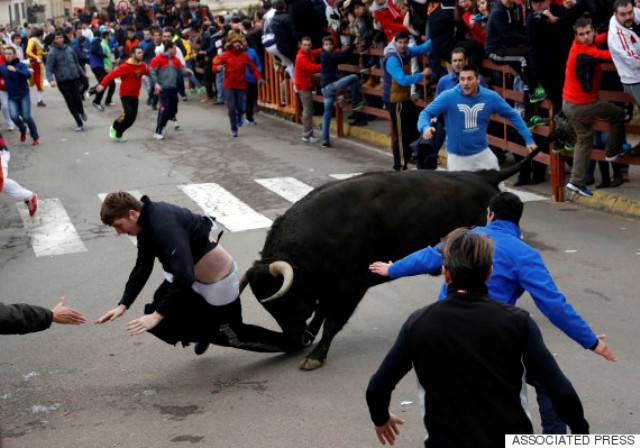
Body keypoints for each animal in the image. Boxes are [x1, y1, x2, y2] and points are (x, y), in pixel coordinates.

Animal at [244, 142, 552, 370]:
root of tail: (483, 176)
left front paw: (315, 355)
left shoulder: (351, 285)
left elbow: (332, 320)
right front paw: (311, 337)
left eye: (285, 300)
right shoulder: (329, 285)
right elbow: (321, 312)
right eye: (269, 306)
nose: (294, 339)